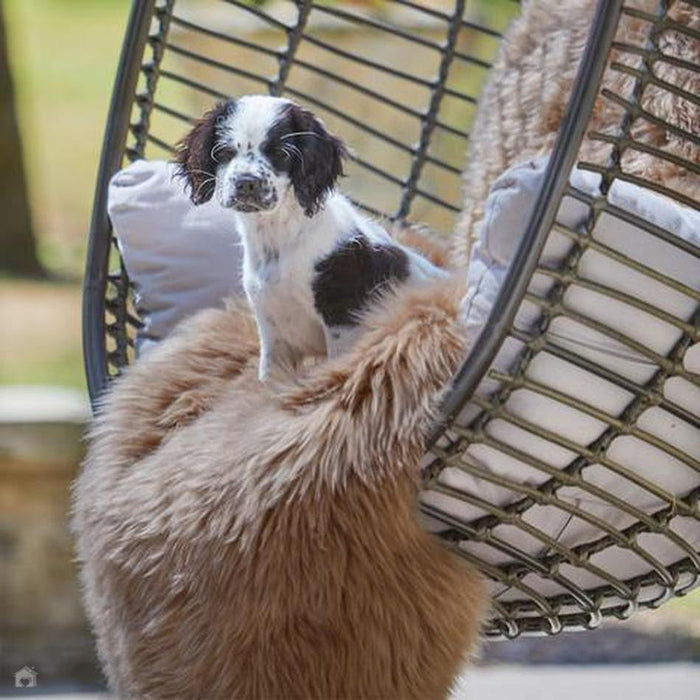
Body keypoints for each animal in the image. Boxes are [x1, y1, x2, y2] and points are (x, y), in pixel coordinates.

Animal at [178, 93, 446, 380]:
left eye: (282, 154)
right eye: (225, 152)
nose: (246, 183)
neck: (278, 237)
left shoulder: (342, 319)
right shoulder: (272, 328)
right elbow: (267, 380)